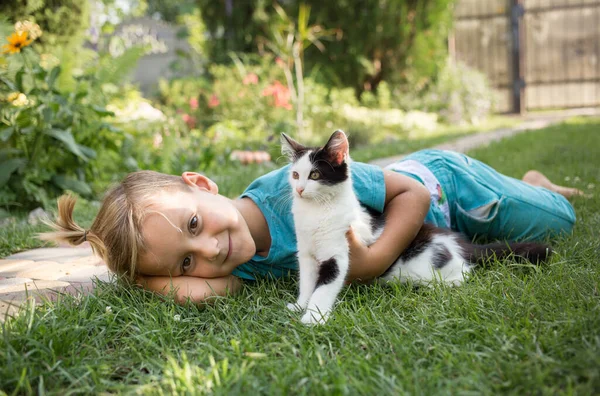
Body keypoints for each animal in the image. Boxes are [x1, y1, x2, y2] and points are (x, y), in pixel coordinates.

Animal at [282, 130, 552, 324]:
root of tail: (456, 241)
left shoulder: (339, 250)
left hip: (423, 260)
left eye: (315, 175)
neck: (316, 212)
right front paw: (301, 304)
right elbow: (307, 281)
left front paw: (313, 317)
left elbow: (325, 286)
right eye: (295, 175)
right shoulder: (306, 254)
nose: (299, 189)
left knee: (463, 271)